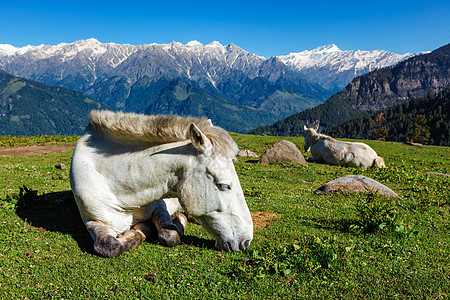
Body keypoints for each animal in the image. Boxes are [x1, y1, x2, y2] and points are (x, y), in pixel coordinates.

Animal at [70, 110, 253, 258]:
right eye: (224, 185)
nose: (246, 241)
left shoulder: (160, 207)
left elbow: (169, 234)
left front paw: (151, 227)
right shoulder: (93, 221)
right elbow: (109, 246)